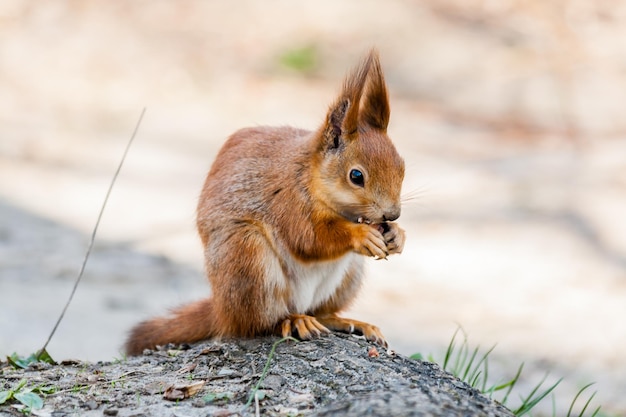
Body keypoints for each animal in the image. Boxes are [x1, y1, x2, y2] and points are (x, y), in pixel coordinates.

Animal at [124, 48, 404, 354]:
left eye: (402, 166)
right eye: (356, 176)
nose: (393, 214)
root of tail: (222, 310)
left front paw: (397, 236)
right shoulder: (289, 201)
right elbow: (309, 238)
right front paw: (361, 235)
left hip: (348, 276)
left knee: (320, 312)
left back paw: (349, 322)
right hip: (247, 258)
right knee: (259, 323)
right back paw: (292, 321)